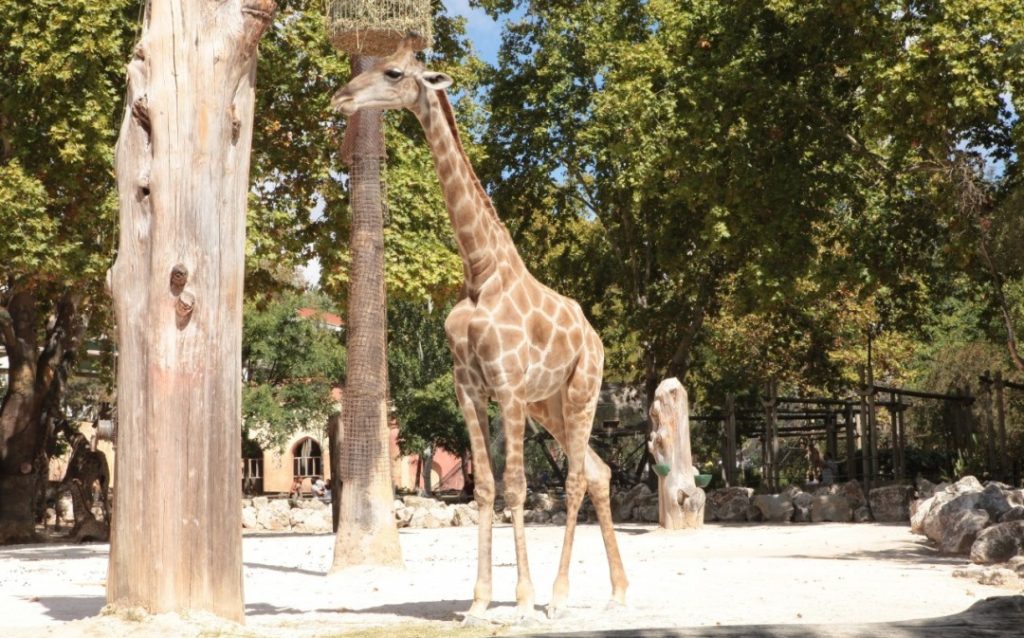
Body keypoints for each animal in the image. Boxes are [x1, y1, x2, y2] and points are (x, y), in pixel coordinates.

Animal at [331, 37, 626, 622]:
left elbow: (516, 487)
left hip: (581, 390)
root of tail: (597, 337)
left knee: (577, 477)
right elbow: (486, 487)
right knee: (599, 471)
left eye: (393, 72)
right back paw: (618, 591)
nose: (342, 97)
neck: (480, 268)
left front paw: (523, 601)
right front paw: (479, 602)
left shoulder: (506, 387)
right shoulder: (468, 386)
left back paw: (560, 598)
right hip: (549, 406)